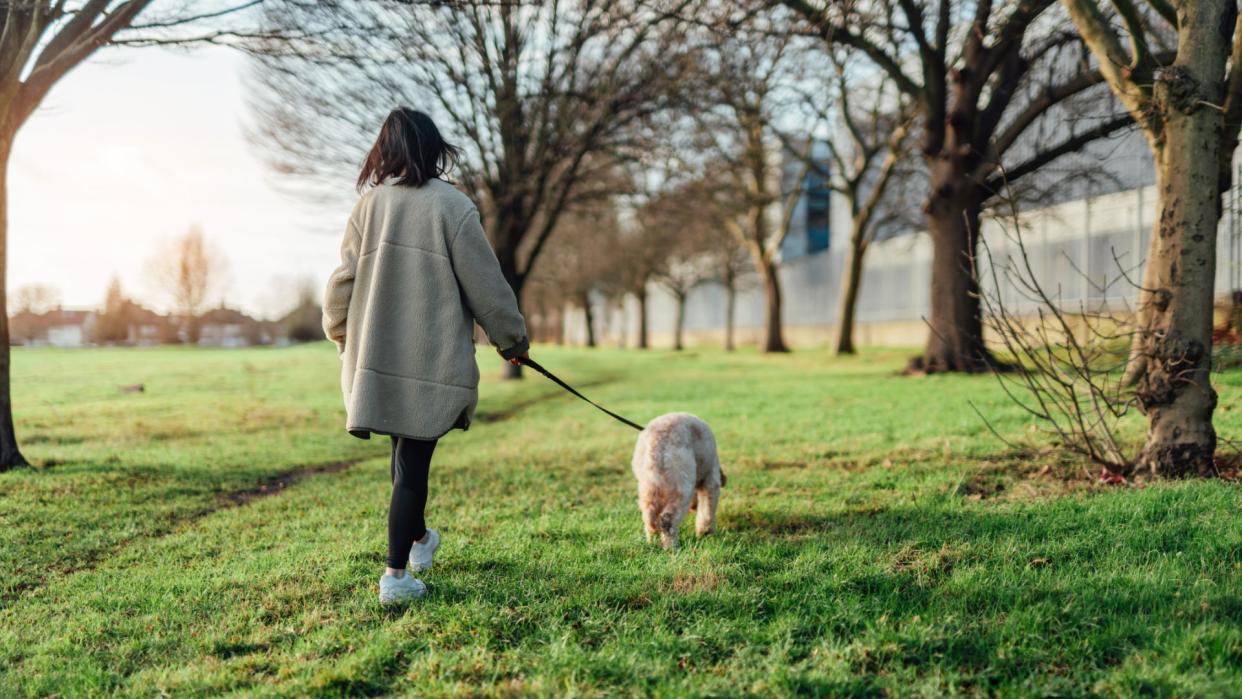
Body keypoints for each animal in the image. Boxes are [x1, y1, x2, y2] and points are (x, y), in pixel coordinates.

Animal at [635, 412, 725, 548]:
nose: (693, 508)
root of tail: (657, 441)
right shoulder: (711, 481)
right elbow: (707, 511)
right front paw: (706, 533)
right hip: (681, 484)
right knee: (667, 520)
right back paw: (672, 547)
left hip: (648, 485)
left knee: (650, 518)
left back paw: (652, 543)